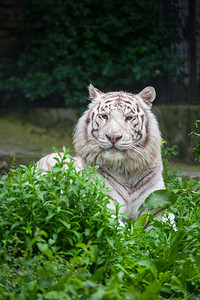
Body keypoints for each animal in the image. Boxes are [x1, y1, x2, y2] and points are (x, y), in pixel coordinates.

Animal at [36, 84, 168, 225]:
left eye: (128, 117)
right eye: (104, 116)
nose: (113, 137)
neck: (127, 171)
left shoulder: (157, 205)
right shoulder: (103, 205)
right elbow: (123, 228)